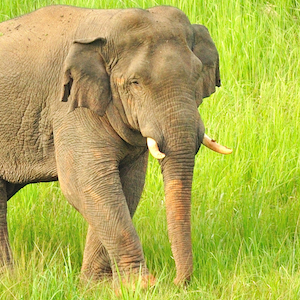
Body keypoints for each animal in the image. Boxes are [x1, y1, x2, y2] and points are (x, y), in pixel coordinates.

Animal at [0, 4, 232, 286]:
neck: (106, 23)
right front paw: (141, 286)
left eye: (197, 75)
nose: (177, 282)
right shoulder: (68, 105)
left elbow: (128, 184)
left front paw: (96, 285)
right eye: (135, 83)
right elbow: (86, 184)